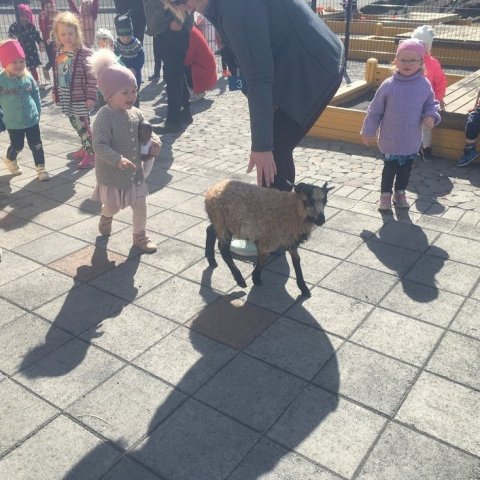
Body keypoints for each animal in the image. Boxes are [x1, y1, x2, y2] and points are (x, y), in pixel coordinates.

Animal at [204, 180, 333, 297]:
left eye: (325, 201)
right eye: (308, 201)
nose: (321, 220)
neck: (292, 210)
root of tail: (211, 191)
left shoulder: (290, 239)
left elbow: (296, 261)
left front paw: (304, 288)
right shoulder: (267, 239)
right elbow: (263, 258)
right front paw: (256, 278)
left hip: (220, 222)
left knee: (209, 231)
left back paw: (211, 260)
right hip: (222, 222)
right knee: (223, 249)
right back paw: (239, 279)